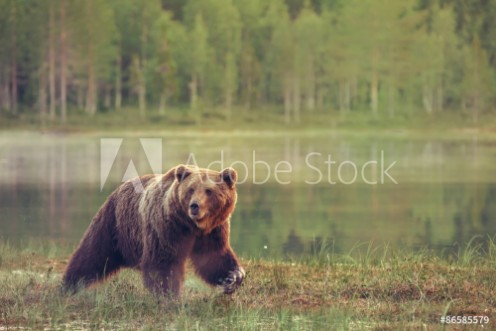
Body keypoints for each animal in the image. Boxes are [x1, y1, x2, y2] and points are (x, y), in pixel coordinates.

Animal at [63, 165, 245, 296]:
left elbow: (214, 257)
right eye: (191, 189)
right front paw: (169, 296)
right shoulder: (166, 227)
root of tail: (120, 187)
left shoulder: (213, 231)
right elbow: (162, 262)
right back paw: (68, 287)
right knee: (91, 255)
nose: (195, 206)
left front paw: (233, 277)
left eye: (209, 191)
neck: (191, 226)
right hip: (114, 224)